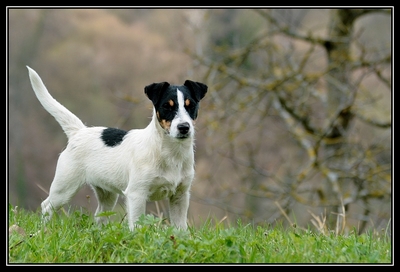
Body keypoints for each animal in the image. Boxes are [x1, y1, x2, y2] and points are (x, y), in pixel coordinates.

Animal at [26, 65, 208, 230]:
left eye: (191, 105)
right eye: (167, 106)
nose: (184, 127)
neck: (169, 152)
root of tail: (79, 131)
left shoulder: (180, 196)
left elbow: (180, 228)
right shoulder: (136, 194)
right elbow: (137, 225)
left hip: (107, 195)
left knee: (100, 216)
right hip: (64, 188)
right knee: (46, 206)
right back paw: (42, 231)